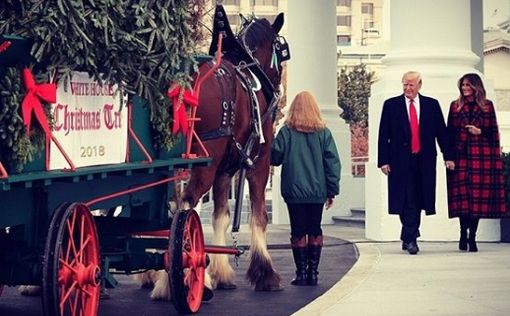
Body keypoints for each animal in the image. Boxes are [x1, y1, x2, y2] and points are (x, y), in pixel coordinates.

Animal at [149, 3, 288, 298]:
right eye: (281, 50)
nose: (278, 88)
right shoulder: (260, 162)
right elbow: (259, 215)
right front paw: (265, 273)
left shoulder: (225, 170)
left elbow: (221, 216)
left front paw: (221, 272)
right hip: (205, 163)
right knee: (186, 206)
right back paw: (185, 277)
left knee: (165, 210)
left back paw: (159, 276)